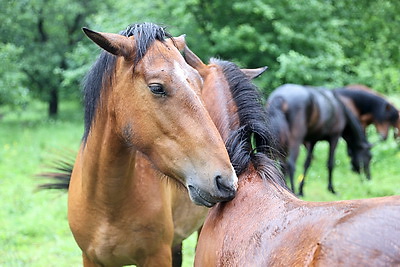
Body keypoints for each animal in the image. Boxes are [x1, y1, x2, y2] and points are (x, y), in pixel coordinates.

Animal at [43, 23, 238, 267]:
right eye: (157, 88)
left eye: (199, 82)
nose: (226, 181)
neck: (107, 204)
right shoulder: (90, 258)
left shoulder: (156, 257)